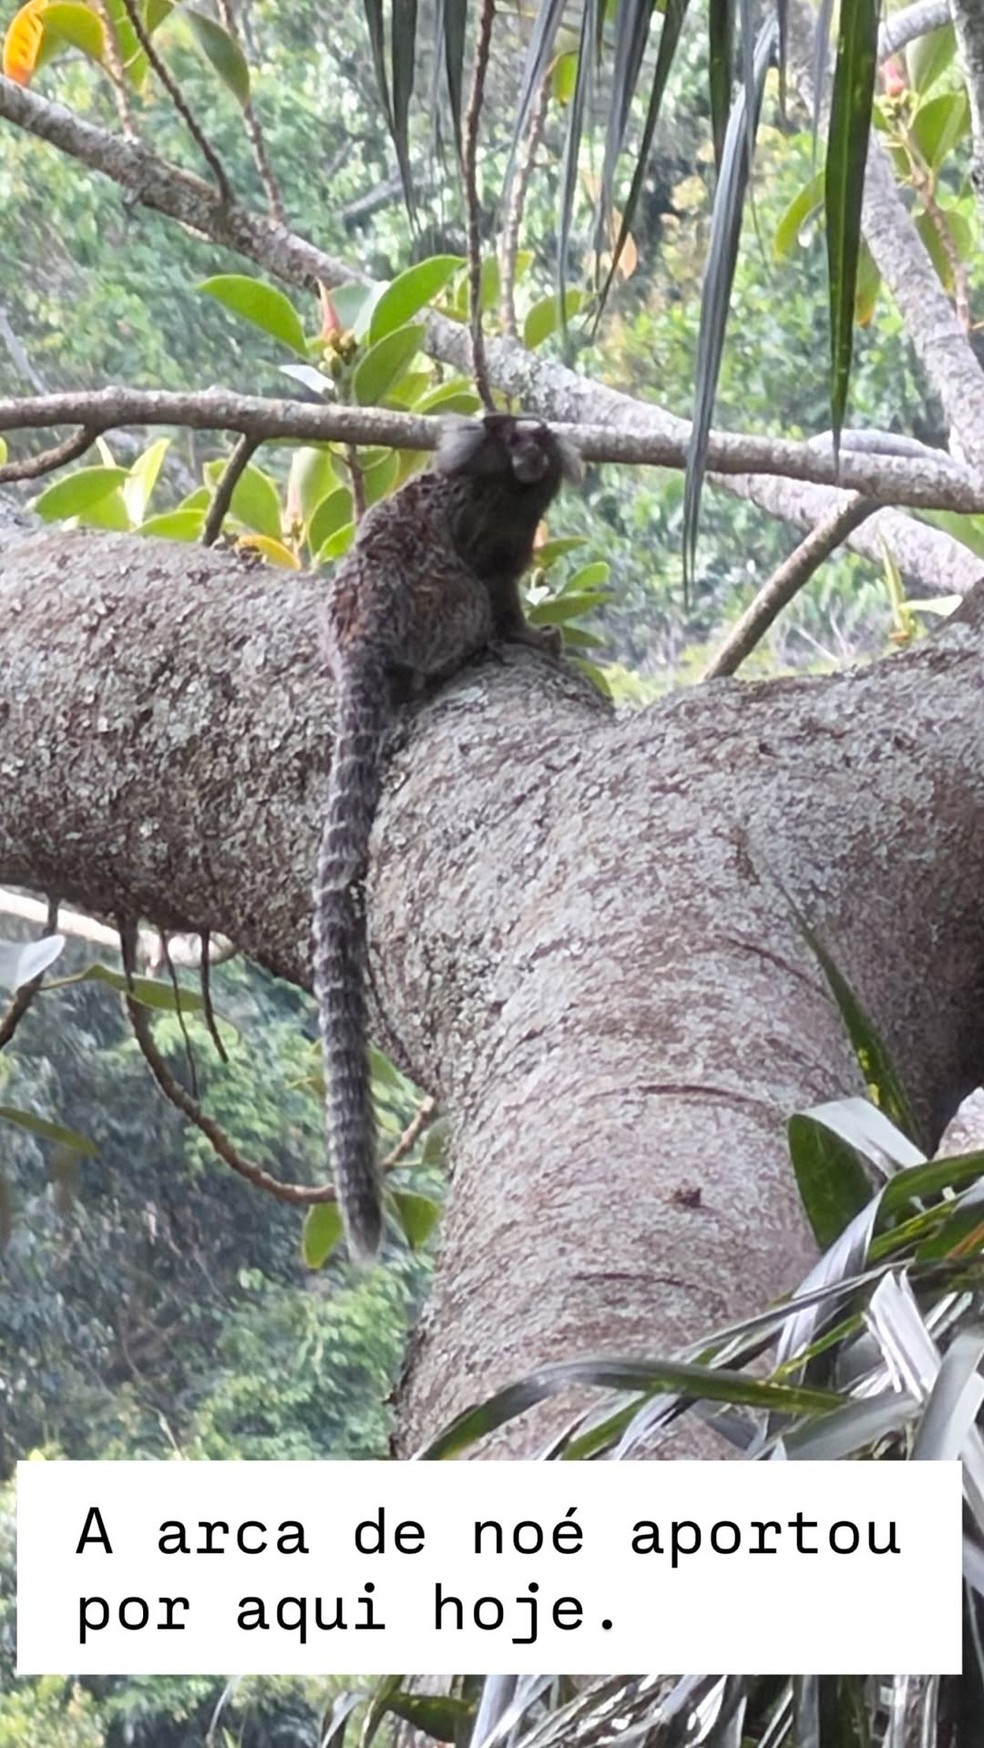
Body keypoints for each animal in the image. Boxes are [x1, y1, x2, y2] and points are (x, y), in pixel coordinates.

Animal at [312, 413, 580, 1262]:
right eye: (513, 438)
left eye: (538, 440)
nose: (528, 456)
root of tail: (366, 629)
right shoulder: (491, 526)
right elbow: (496, 583)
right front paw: (528, 636)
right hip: (435, 607)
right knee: (463, 599)